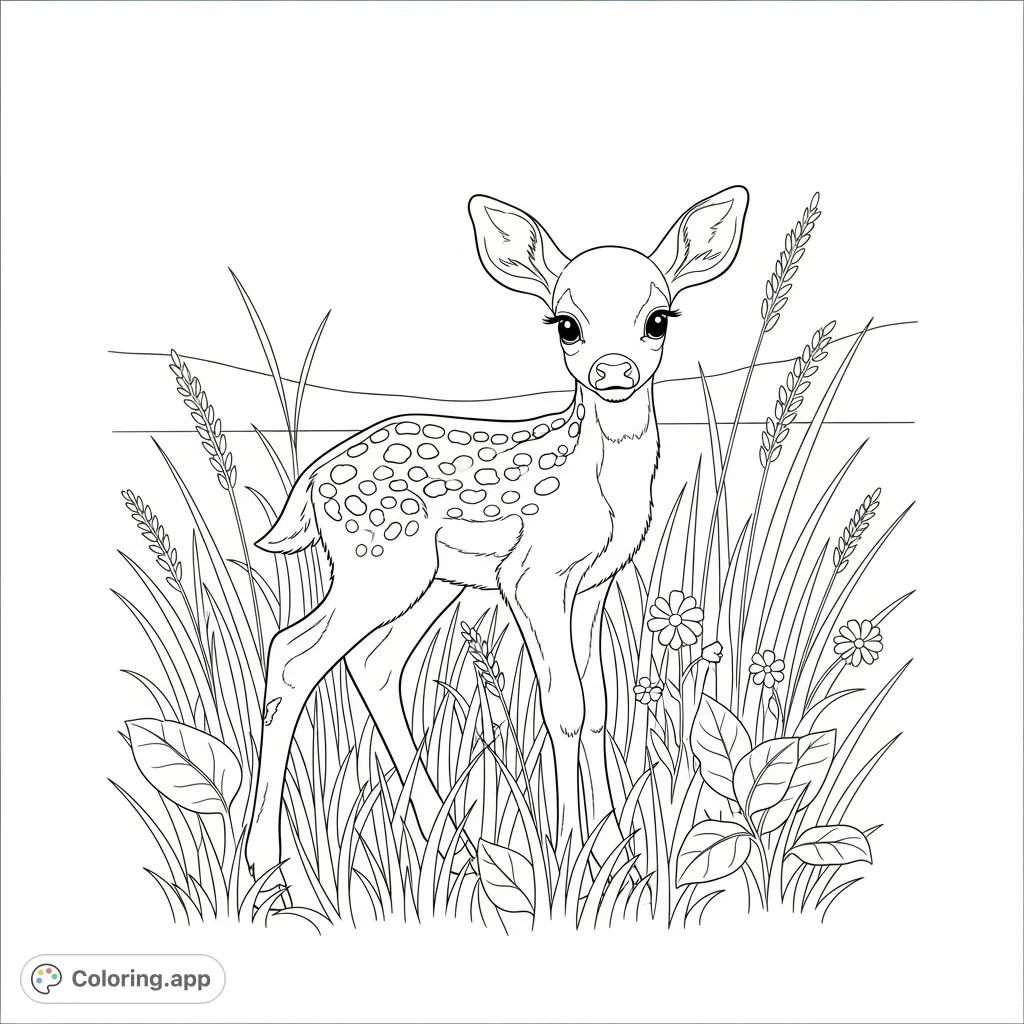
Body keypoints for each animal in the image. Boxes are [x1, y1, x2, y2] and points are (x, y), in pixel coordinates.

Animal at [244, 187, 749, 878]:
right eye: (567, 323)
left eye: (658, 319)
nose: (612, 369)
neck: (601, 485)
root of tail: (312, 480)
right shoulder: (531, 575)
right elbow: (565, 707)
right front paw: (569, 847)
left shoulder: (590, 586)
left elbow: (598, 706)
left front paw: (616, 842)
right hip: (377, 566)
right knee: (294, 653)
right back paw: (266, 859)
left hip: (431, 581)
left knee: (376, 663)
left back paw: (450, 838)